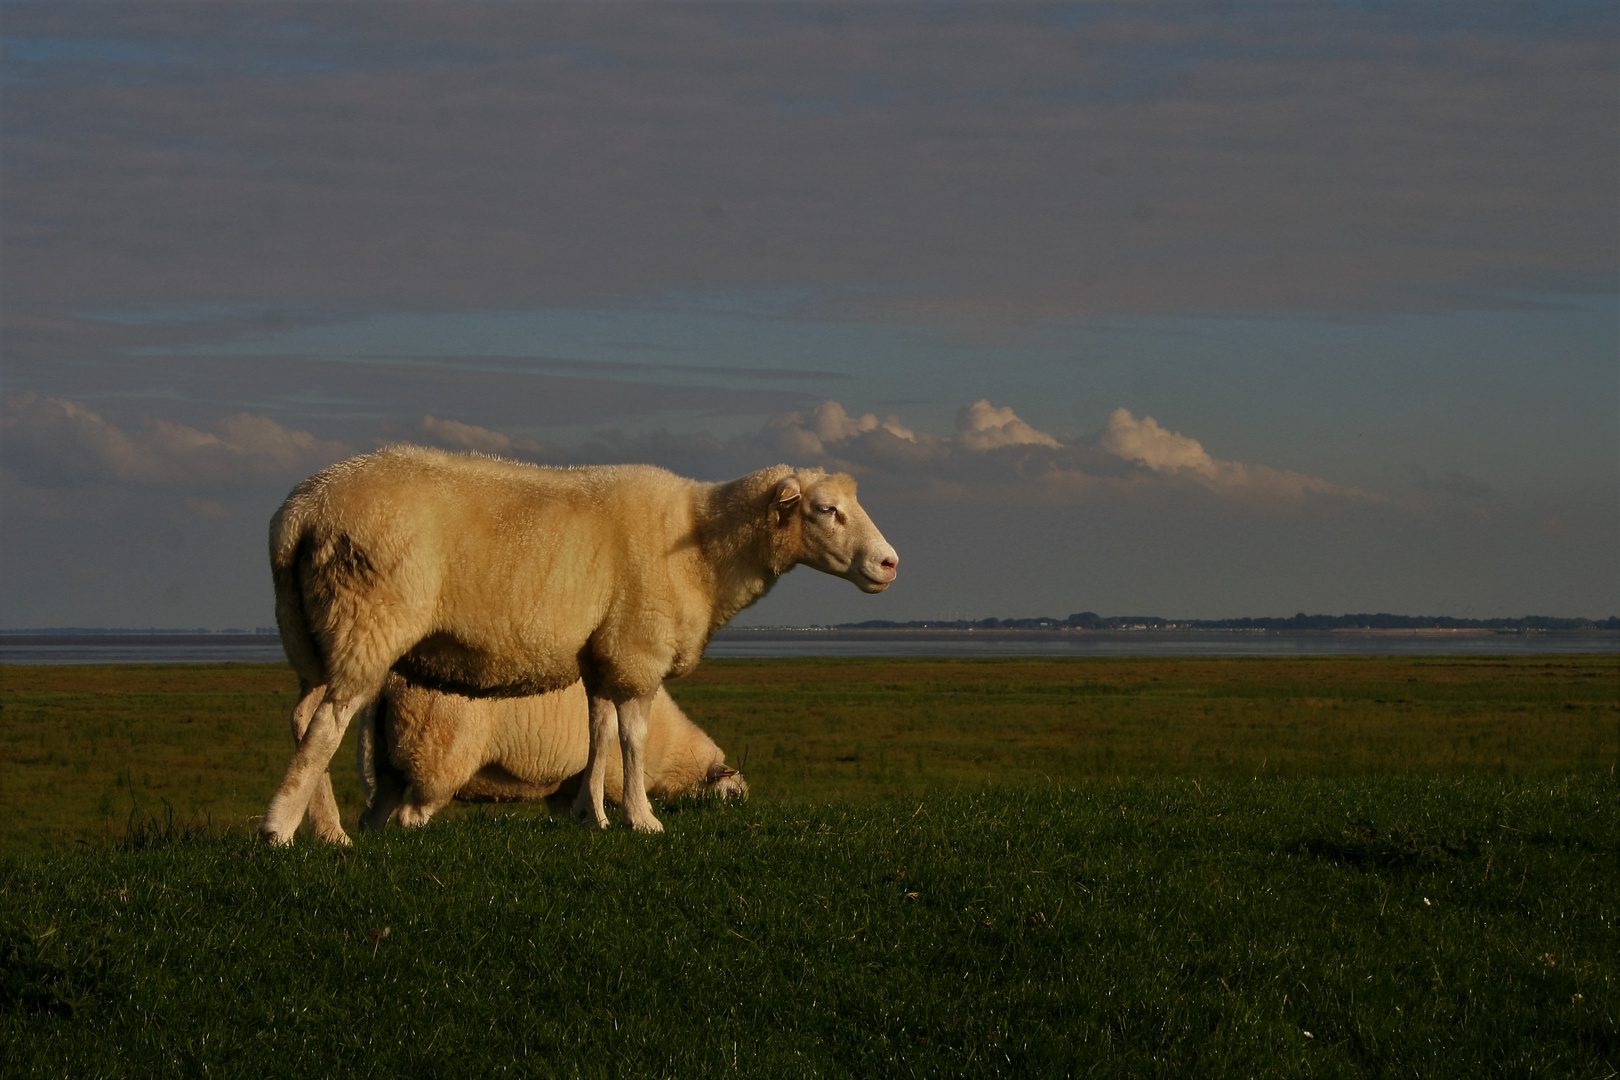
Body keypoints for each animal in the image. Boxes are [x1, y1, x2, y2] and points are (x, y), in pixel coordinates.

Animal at [345, 670, 748, 835]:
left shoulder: (565, 783)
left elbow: (571, 808)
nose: (744, 809)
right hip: (436, 756)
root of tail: (389, 685)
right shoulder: (612, 772)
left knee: (375, 814)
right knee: (411, 815)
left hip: (388, 758)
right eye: (730, 793)